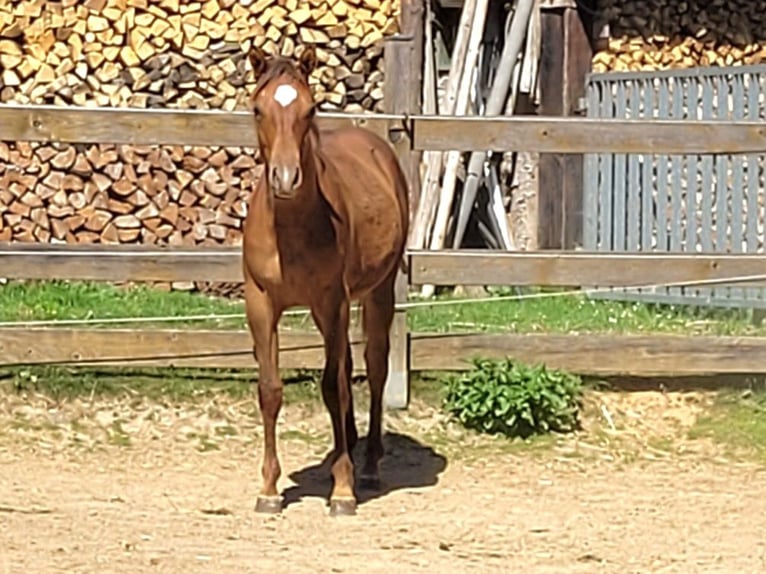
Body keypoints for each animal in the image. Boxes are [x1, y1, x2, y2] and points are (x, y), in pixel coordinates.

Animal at [242, 44, 409, 517]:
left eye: (309, 108)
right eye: (258, 108)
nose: (285, 178)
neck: (292, 230)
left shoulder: (332, 300)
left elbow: (333, 388)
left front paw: (343, 490)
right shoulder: (261, 303)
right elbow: (271, 390)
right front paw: (268, 490)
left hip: (376, 292)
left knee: (373, 367)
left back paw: (367, 465)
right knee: (348, 367)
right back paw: (344, 446)